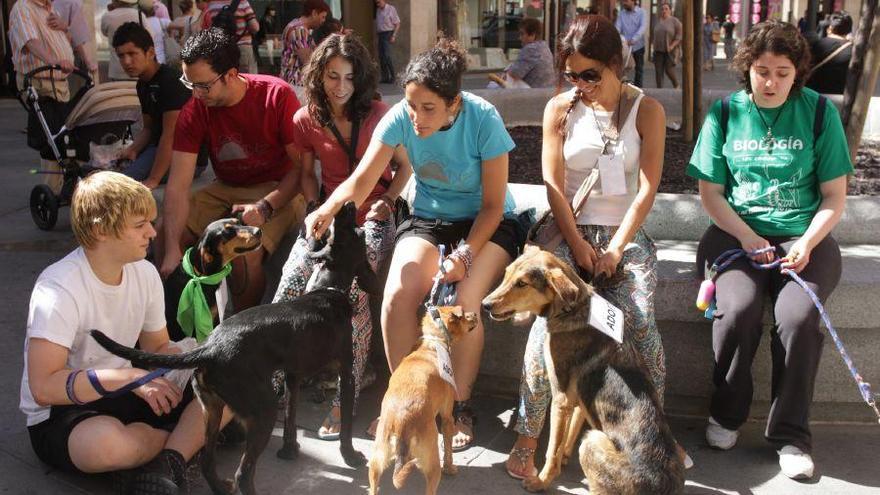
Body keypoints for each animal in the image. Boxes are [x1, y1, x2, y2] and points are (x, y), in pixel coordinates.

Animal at [91, 202, 376, 495]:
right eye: (352, 233)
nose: (346, 205)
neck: (326, 289)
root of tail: (209, 348)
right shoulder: (346, 372)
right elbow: (345, 426)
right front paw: (350, 456)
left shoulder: (292, 376)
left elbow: (289, 417)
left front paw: (289, 450)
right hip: (261, 411)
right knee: (243, 474)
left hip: (211, 409)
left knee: (207, 462)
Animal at [368, 306, 478, 495]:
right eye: (463, 314)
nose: (476, 314)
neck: (433, 343)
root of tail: (401, 421)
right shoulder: (447, 417)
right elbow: (448, 449)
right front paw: (450, 468)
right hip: (432, 462)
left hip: (377, 458)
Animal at [482, 247, 680, 495]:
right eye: (506, 274)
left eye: (522, 283)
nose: (485, 305)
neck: (572, 308)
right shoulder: (578, 399)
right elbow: (567, 435)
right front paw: (564, 458)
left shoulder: (560, 398)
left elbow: (552, 449)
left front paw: (542, 481)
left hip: (592, 440)